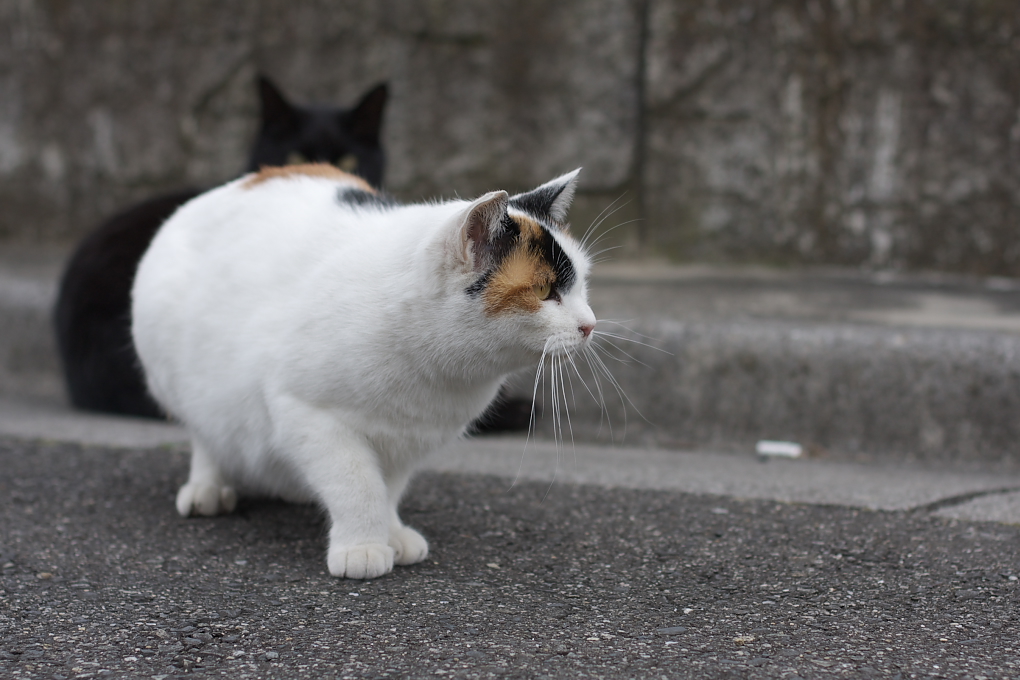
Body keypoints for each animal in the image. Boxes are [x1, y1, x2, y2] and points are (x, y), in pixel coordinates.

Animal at [134, 165, 595, 579]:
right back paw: (207, 490)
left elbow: (387, 490)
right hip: (180, 381)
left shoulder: (408, 438)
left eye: (580, 286)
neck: (436, 375)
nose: (590, 325)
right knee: (207, 435)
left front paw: (391, 535)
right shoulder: (309, 417)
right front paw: (363, 547)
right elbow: (358, 485)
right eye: (544, 290)